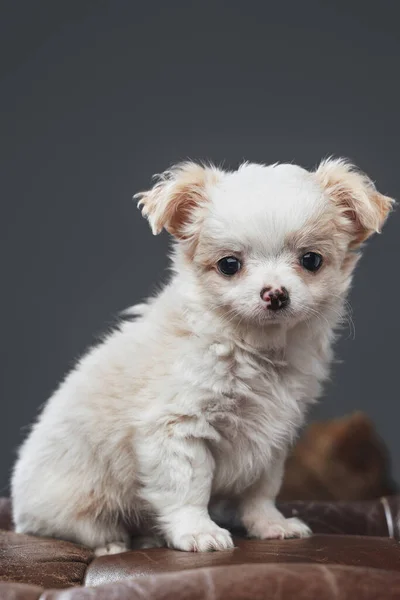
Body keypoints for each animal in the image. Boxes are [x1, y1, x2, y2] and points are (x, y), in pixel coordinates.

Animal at [11, 158, 394, 552]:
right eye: (229, 265)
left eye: (311, 260)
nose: (275, 294)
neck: (252, 347)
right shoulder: (178, 428)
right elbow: (188, 488)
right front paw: (198, 531)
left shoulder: (272, 439)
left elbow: (261, 492)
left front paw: (270, 525)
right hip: (72, 502)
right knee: (79, 528)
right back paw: (113, 544)